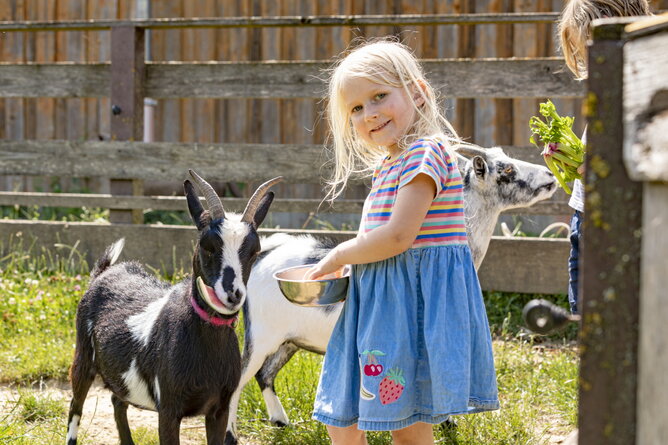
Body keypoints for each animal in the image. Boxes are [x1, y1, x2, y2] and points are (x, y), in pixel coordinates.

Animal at [69, 170, 284, 444]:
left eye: (255, 251)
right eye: (207, 246)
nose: (233, 294)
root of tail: (103, 272)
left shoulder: (219, 408)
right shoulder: (169, 409)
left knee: (118, 401)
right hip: (83, 357)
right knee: (75, 406)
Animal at [224, 146, 560, 444]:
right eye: (506, 170)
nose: (549, 176)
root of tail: (266, 253)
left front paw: (447, 425)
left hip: (287, 339)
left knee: (265, 375)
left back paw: (280, 422)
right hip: (261, 335)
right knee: (240, 380)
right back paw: (231, 436)